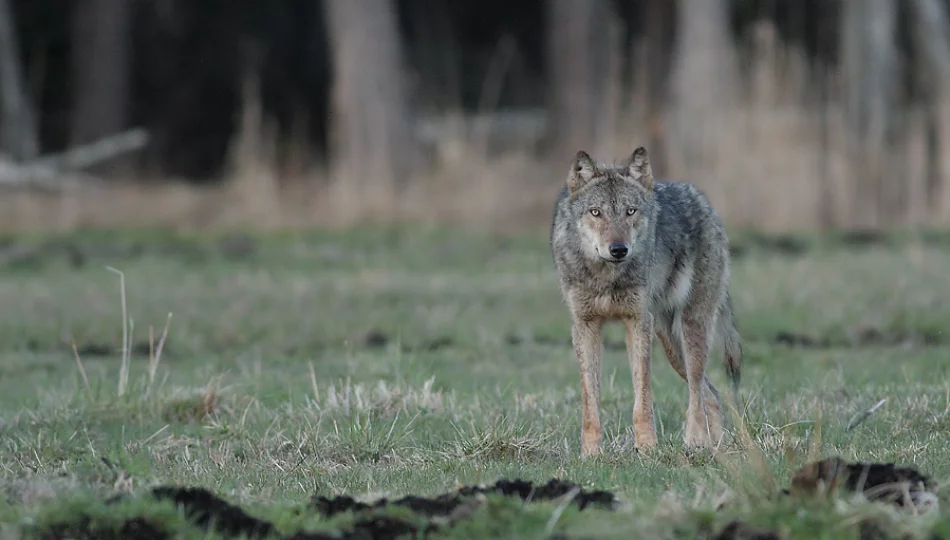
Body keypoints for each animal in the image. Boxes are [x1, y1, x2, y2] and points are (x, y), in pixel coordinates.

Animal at [552, 147, 744, 456]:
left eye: (630, 211)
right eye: (596, 212)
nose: (618, 249)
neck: (608, 277)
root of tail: (704, 202)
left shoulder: (638, 321)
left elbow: (642, 396)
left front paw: (647, 449)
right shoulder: (585, 326)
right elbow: (589, 401)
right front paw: (590, 454)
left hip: (689, 330)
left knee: (696, 389)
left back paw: (695, 442)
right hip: (670, 344)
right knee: (711, 393)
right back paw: (714, 447)